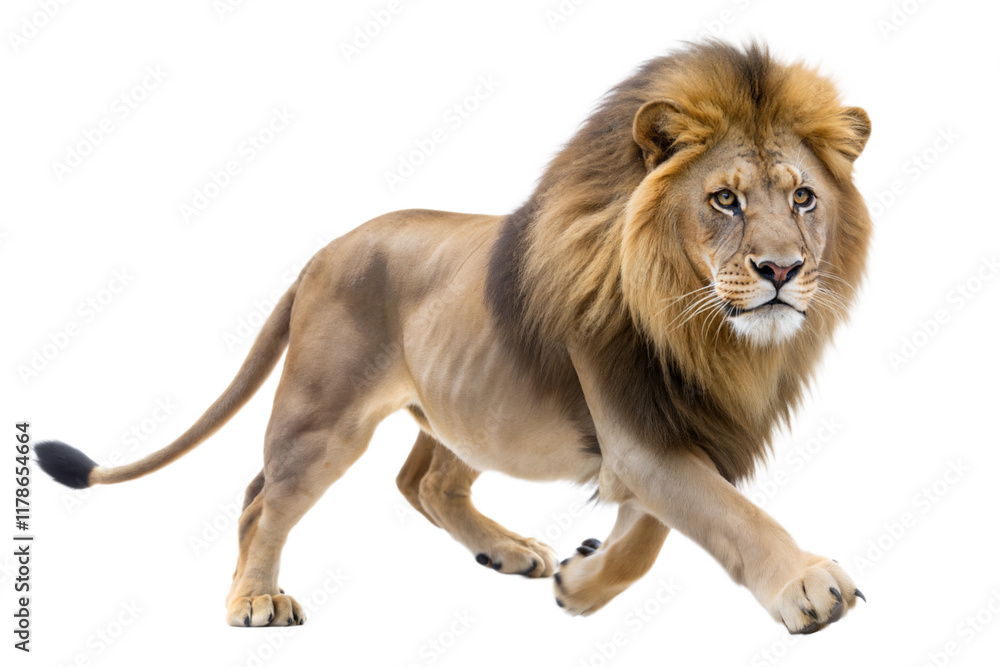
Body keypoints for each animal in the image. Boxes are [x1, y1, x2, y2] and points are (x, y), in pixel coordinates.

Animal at [36, 41, 872, 634]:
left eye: (803, 196)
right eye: (725, 200)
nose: (782, 270)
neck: (703, 326)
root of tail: (322, 250)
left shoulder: (683, 428)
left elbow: (651, 533)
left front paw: (581, 579)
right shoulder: (640, 432)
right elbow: (723, 514)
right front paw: (808, 582)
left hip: (470, 403)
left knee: (424, 481)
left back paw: (508, 550)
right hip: (324, 414)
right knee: (260, 497)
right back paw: (254, 599)